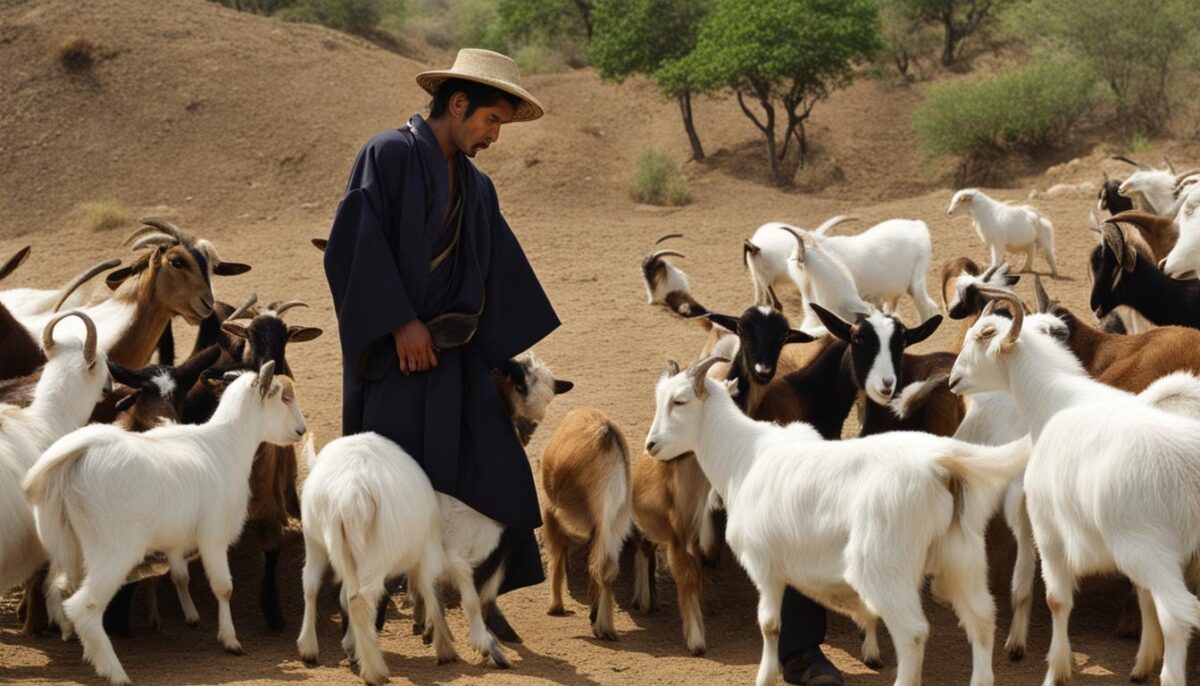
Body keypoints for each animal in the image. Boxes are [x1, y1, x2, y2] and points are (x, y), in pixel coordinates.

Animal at [24, 361, 306, 686]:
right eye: (284, 398)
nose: (301, 430)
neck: (227, 444)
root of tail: (79, 454)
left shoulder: (176, 541)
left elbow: (180, 575)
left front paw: (194, 618)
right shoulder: (214, 536)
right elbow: (224, 588)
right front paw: (230, 641)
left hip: (69, 542)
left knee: (60, 587)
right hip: (114, 550)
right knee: (85, 605)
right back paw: (115, 672)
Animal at [297, 433, 458, 685]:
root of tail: (350, 495)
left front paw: (351, 646)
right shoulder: (428, 547)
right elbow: (431, 589)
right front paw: (444, 648)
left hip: (315, 540)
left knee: (313, 585)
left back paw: (309, 649)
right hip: (375, 553)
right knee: (360, 600)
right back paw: (375, 671)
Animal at [540, 407, 634, 640]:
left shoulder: (551, 511)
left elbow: (557, 556)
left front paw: (556, 608)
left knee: (598, 564)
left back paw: (603, 627)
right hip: (615, 519)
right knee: (606, 566)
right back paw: (603, 624)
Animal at [646, 356, 1028, 686]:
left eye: (680, 401)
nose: (651, 445)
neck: (744, 456)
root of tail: (941, 461)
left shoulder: (764, 563)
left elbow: (769, 624)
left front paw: (764, 678)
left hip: (884, 565)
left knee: (913, 633)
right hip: (961, 556)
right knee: (982, 620)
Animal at [950, 288, 1200, 686]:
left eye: (980, 336)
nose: (953, 380)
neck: (1057, 402)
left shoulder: (1048, 527)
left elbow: (1057, 598)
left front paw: (1056, 670)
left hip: (1148, 549)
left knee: (1178, 613)